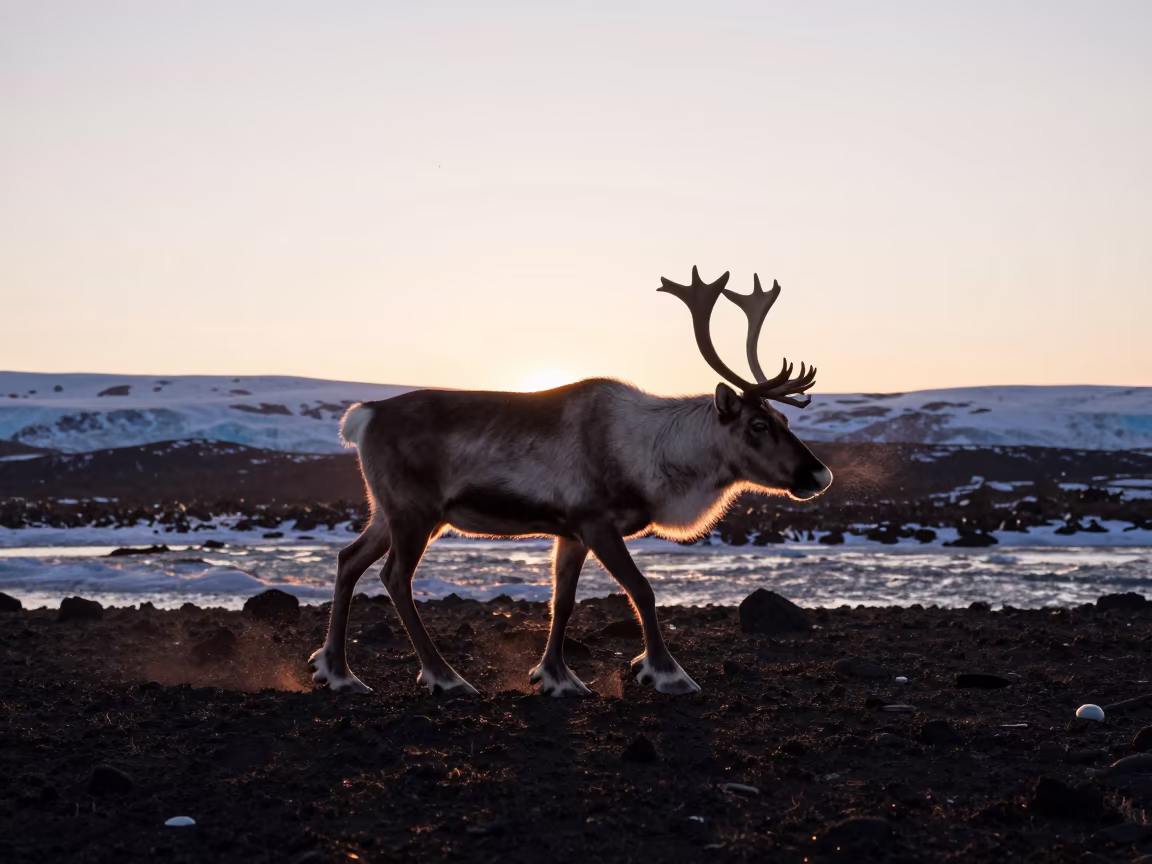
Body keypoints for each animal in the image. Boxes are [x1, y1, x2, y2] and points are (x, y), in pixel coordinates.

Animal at [309, 267, 832, 697]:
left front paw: (557, 677)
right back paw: (445, 677)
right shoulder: (596, 522)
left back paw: (338, 672)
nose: (819, 473)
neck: (653, 453)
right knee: (394, 577)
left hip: (388, 512)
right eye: (758, 425)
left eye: (783, 418)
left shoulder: (570, 532)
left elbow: (562, 602)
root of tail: (364, 416)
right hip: (415, 513)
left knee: (348, 559)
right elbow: (643, 589)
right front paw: (667, 673)